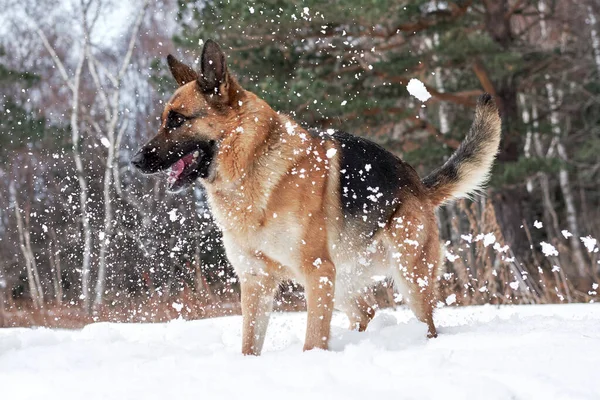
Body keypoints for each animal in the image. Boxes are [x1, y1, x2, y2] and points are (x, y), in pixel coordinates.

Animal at [131, 39, 502, 354]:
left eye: (177, 120)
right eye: (163, 120)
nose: (134, 160)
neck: (253, 164)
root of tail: (416, 183)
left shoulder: (317, 271)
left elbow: (313, 340)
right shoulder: (256, 282)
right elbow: (250, 344)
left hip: (408, 278)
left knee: (426, 324)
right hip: (345, 280)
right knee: (366, 311)